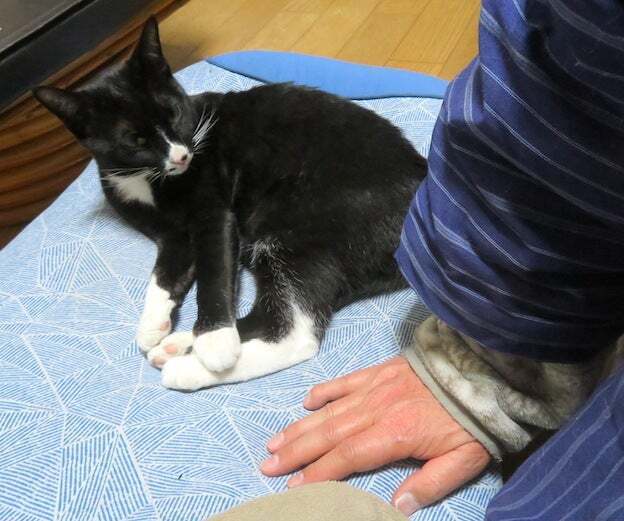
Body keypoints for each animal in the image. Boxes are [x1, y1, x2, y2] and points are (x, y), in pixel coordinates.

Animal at [34, 18, 427, 391]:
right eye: (135, 140)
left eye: (173, 114)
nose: (181, 156)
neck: (147, 179)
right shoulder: (170, 234)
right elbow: (163, 273)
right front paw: (152, 323)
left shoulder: (214, 213)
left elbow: (214, 270)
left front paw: (216, 341)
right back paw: (176, 344)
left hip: (298, 229)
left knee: (293, 332)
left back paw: (189, 366)